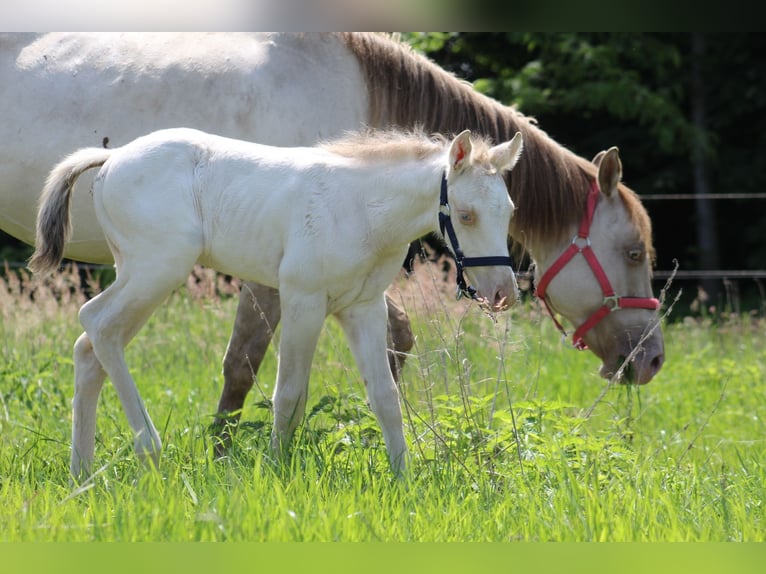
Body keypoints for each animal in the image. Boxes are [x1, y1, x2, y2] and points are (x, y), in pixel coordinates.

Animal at [29, 127, 525, 477]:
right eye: (466, 215)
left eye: (510, 211)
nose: (504, 293)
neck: (360, 208)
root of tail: (113, 156)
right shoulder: (303, 300)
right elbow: (289, 393)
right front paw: (275, 471)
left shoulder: (363, 308)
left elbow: (384, 396)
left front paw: (403, 479)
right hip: (156, 268)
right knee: (98, 323)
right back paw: (148, 450)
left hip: (137, 271)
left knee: (88, 347)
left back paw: (82, 472)